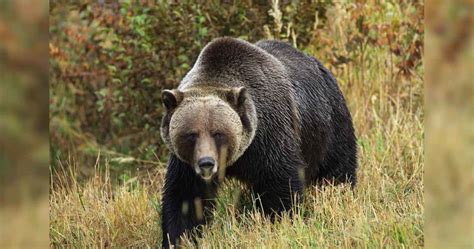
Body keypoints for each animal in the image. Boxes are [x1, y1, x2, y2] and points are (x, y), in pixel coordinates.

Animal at [159, 37, 356, 247]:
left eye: (218, 133)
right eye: (191, 134)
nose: (206, 163)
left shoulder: (269, 138)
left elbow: (280, 186)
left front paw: (277, 223)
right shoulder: (186, 165)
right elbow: (184, 199)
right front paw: (180, 238)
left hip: (328, 127)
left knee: (337, 171)